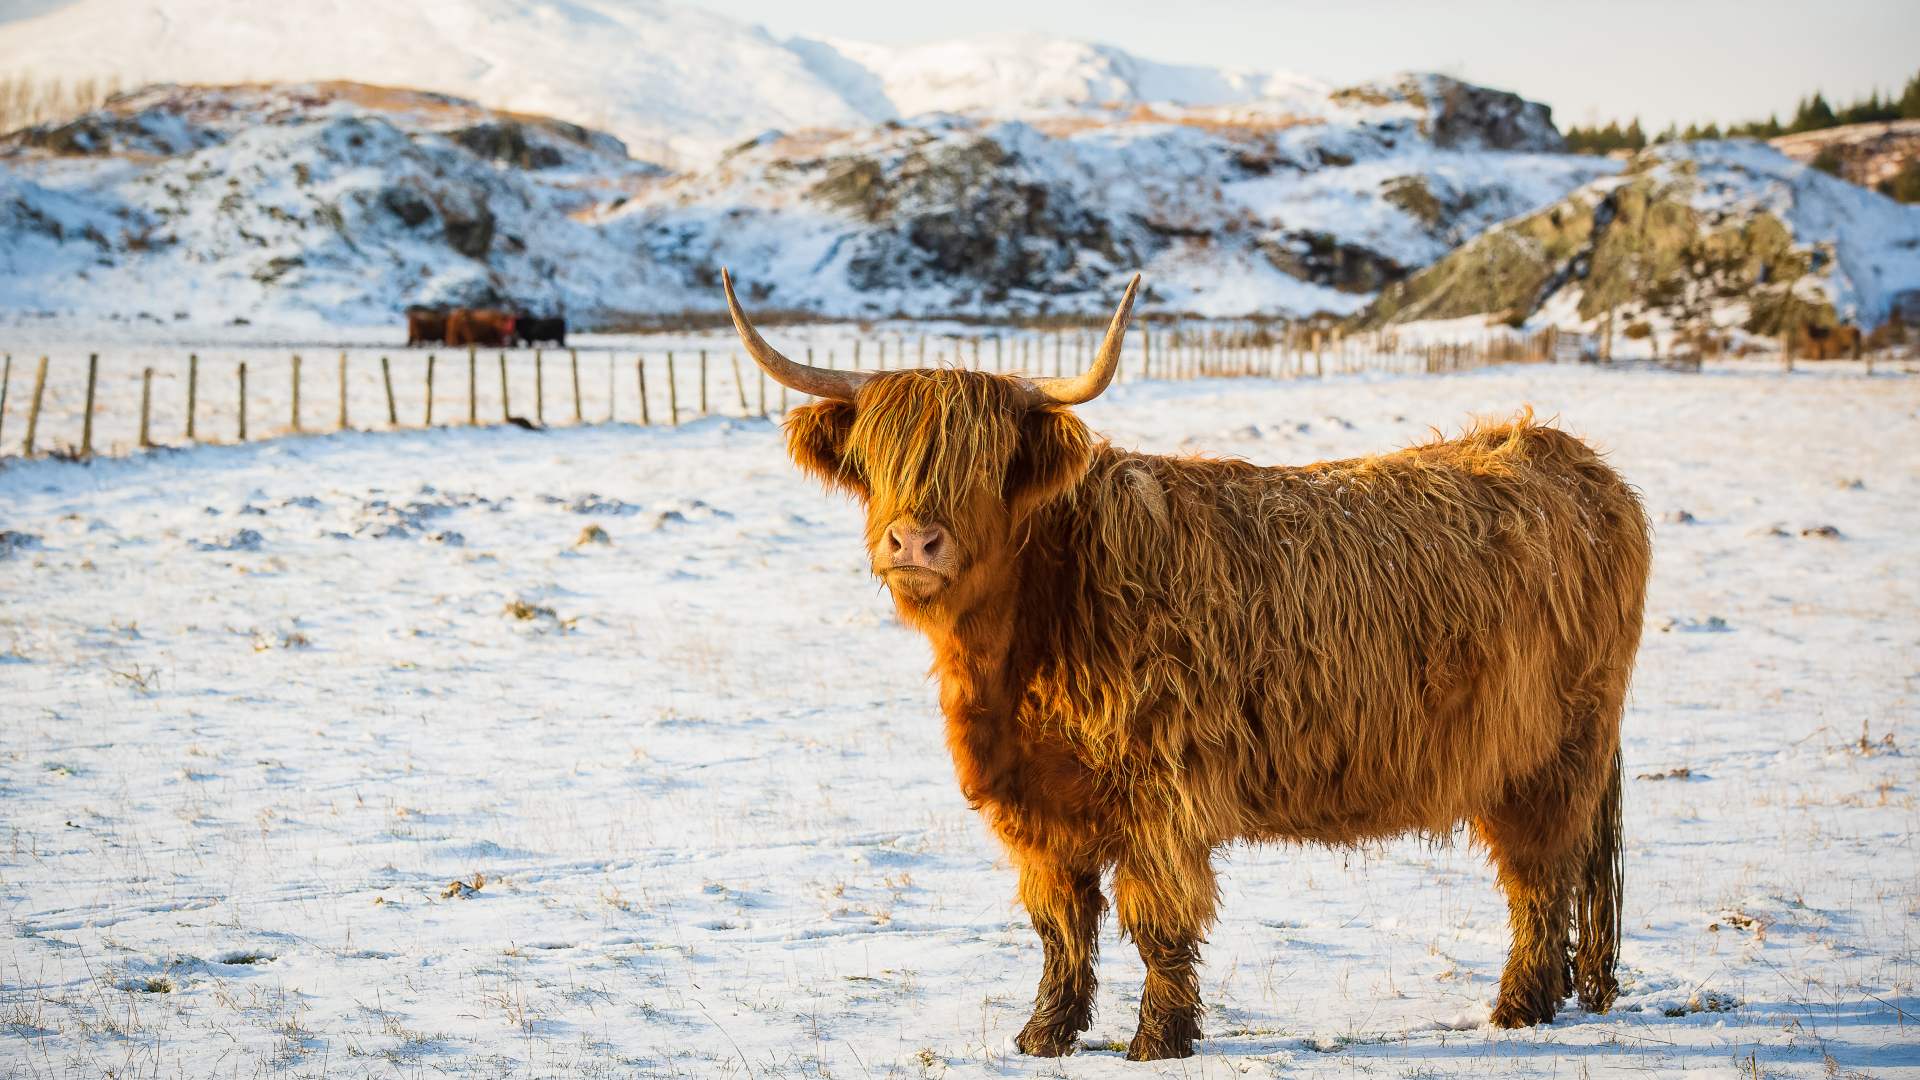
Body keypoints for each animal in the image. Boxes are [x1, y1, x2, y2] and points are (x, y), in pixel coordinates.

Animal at [721, 269, 1651, 1060]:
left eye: (984, 466)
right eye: (878, 458)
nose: (914, 540)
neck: (1026, 633)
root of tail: (1566, 455)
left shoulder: (1161, 790)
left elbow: (1156, 920)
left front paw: (1158, 1040)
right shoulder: (1036, 807)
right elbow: (1062, 923)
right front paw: (1043, 1035)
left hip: (1551, 755)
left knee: (1539, 880)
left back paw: (1519, 1007)